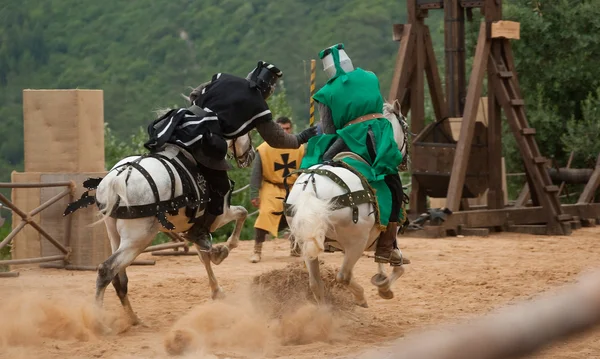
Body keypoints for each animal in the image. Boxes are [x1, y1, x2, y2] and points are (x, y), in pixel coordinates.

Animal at [90, 131, 254, 326]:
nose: (251, 155)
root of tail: (118, 179)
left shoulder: (193, 227)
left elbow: (204, 256)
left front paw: (216, 288)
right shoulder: (220, 216)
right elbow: (242, 213)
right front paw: (223, 250)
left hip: (115, 236)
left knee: (119, 278)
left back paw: (134, 319)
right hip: (138, 239)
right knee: (107, 270)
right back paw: (100, 321)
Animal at [284, 101, 408, 310]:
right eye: (406, 127)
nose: (405, 161)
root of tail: (311, 188)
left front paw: (381, 279)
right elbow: (397, 266)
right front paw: (384, 288)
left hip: (305, 240)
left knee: (315, 283)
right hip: (355, 242)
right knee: (343, 276)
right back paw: (360, 297)